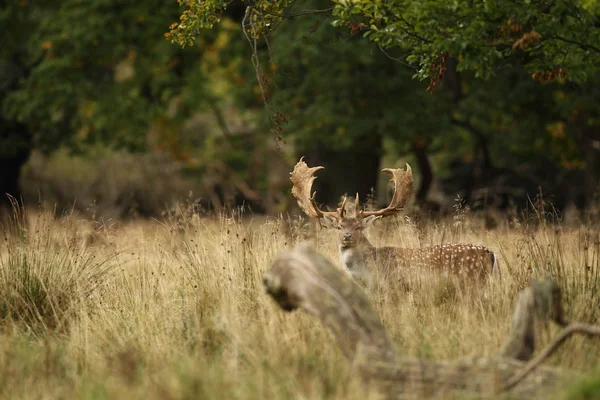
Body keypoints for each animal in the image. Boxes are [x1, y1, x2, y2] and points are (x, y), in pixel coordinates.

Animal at [290, 158, 496, 290]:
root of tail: (491, 254)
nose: (347, 236)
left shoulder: (394, 288)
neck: (365, 273)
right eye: (340, 227)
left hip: (473, 283)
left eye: (358, 227)